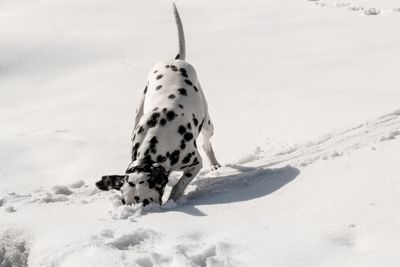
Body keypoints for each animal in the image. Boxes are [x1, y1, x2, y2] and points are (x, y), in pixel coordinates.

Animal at [95, 3, 220, 206]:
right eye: (124, 202)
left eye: (146, 202)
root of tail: (176, 60)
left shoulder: (194, 163)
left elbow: (179, 185)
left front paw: (173, 198)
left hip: (208, 124)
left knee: (207, 143)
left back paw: (215, 164)